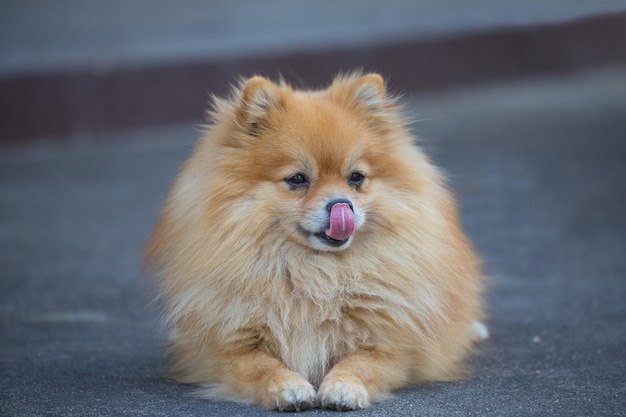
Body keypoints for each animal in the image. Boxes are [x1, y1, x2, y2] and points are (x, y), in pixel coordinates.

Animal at [146, 71, 488, 410]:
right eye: (298, 179)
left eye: (356, 178)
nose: (342, 205)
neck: (314, 272)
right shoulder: (228, 347)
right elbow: (261, 366)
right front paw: (288, 387)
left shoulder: (391, 345)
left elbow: (362, 363)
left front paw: (343, 387)